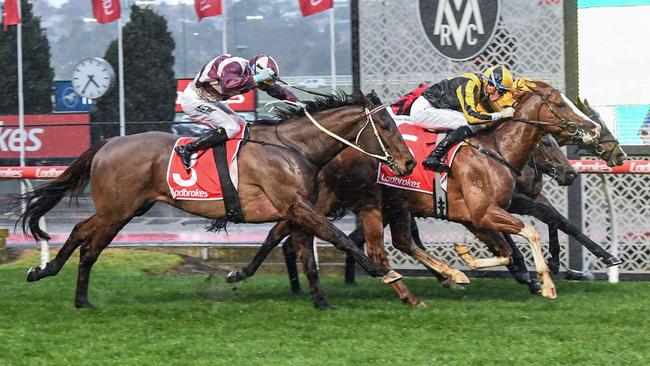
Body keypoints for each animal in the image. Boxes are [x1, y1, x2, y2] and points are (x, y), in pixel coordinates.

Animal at [20, 92, 418, 308]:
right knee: (87, 243)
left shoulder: (297, 209)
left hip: (125, 208)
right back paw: (61, 283)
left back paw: (60, 283)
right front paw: (382, 271)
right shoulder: (297, 206)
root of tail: (108, 143)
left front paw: (320, 301)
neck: (294, 147)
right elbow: (336, 239)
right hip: (118, 209)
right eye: (385, 126)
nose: (409, 163)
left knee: (83, 236)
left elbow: (303, 253)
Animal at [227, 82, 604, 306]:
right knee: (292, 232)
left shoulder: (477, 215)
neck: (495, 149)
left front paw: (466, 265)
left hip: (382, 204)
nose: (591, 127)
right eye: (559, 104)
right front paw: (545, 282)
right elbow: (526, 234)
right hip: (339, 200)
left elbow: (510, 248)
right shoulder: (483, 212)